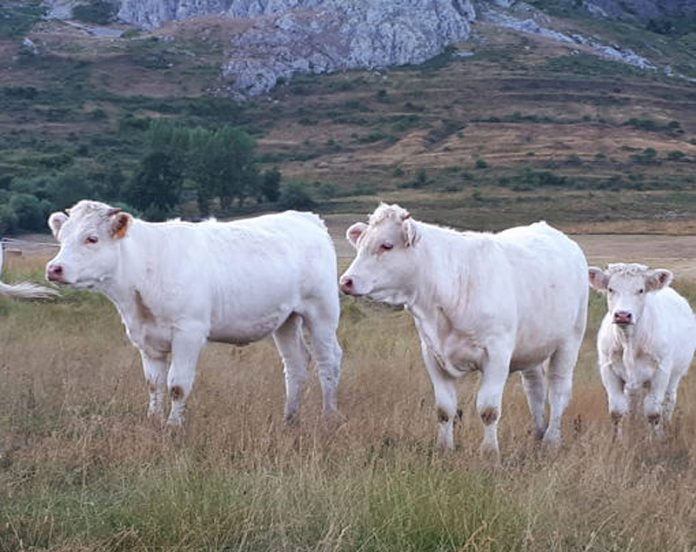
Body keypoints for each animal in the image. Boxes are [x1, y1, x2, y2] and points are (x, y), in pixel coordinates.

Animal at [45, 200, 342, 427]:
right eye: (61, 238)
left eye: (92, 238)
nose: (54, 268)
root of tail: (304, 217)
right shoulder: (146, 339)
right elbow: (154, 384)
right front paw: (153, 420)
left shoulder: (189, 332)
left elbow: (177, 385)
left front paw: (173, 426)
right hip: (286, 320)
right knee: (296, 364)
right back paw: (289, 420)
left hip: (322, 312)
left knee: (328, 361)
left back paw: (329, 418)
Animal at [340, 204, 588, 456]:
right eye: (360, 244)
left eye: (386, 245)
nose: (346, 281)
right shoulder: (432, 354)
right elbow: (444, 409)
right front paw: (444, 447)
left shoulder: (497, 354)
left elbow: (489, 410)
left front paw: (489, 452)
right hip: (532, 347)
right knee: (534, 390)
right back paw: (538, 433)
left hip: (569, 341)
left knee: (558, 391)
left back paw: (551, 440)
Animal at [589, 263, 696, 436]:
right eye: (610, 289)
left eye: (640, 290)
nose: (622, 315)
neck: (629, 342)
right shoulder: (608, 369)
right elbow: (617, 411)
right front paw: (618, 439)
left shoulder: (661, 372)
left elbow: (653, 412)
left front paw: (656, 439)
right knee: (632, 403)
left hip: (675, 374)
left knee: (668, 401)